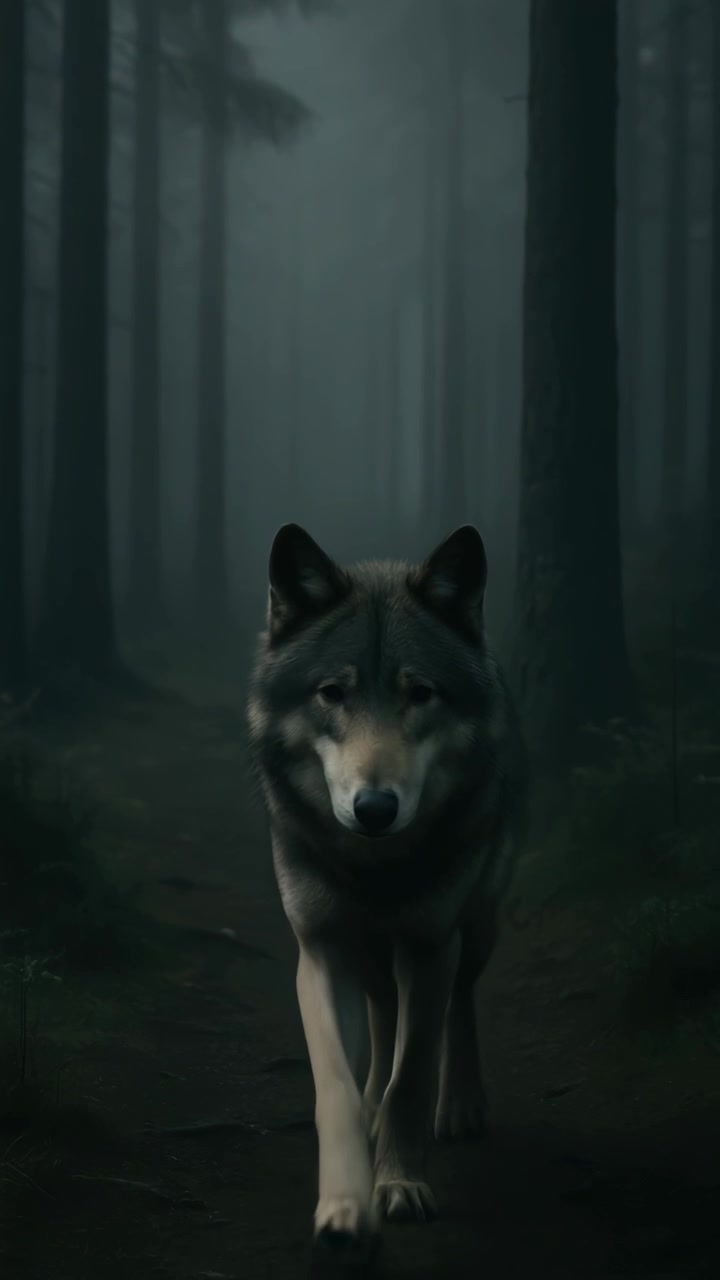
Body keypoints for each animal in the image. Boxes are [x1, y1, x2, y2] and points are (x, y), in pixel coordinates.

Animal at [247, 523, 528, 1260]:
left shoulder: (430, 945)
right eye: (331, 693)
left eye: (420, 693)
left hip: (475, 927)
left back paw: (459, 1106)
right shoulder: (320, 952)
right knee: (380, 1016)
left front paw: (399, 1182)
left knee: (458, 1005)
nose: (374, 808)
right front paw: (346, 1205)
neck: (373, 866)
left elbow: (412, 1074)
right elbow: (338, 1088)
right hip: (371, 954)